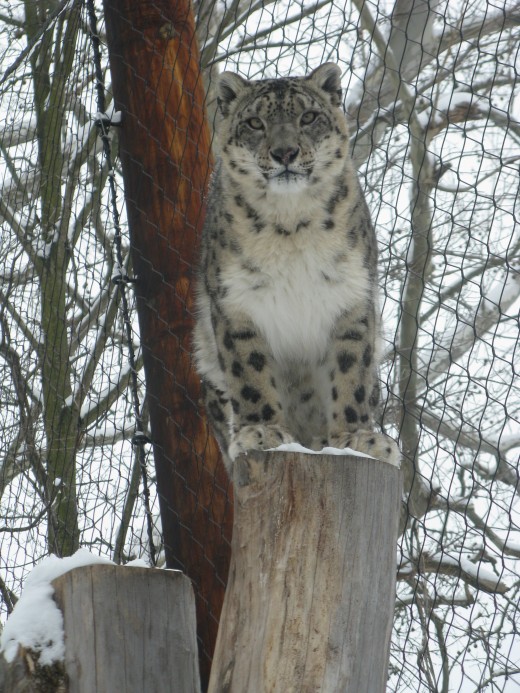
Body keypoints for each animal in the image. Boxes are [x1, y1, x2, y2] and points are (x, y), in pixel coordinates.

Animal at [193, 63, 400, 473]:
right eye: (255, 122)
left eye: (308, 117)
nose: (285, 152)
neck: (290, 224)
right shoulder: (236, 302)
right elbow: (249, 371)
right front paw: (261, 431)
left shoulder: (351, 296)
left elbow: (351, 371)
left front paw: (358, 439)